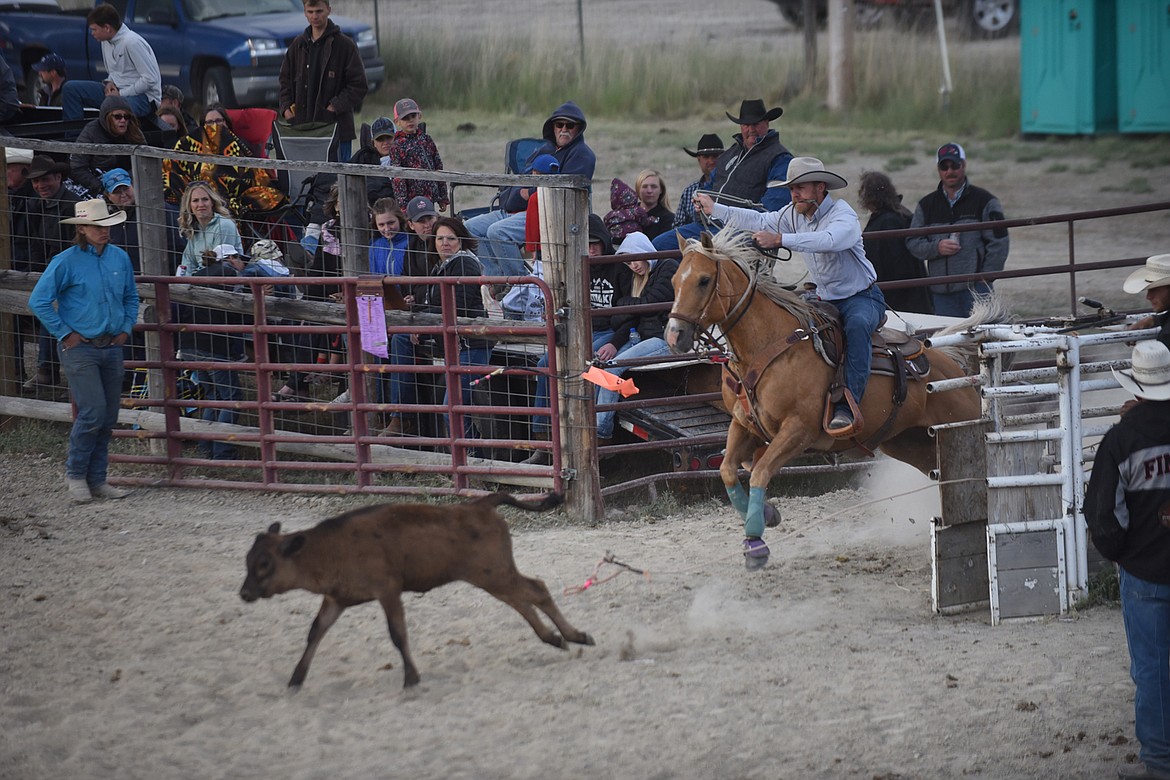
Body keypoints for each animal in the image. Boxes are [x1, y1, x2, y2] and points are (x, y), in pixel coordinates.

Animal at [243, 493, 599, 687]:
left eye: (264, 563)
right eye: (248, 560)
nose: (244, 593)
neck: (329, 547)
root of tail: (480, 505)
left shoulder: (387, 590)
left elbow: (397, 633)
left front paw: (411, 678)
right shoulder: (336, 599)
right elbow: (316, 631)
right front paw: (295, 678)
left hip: (494, 574)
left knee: (534, 591)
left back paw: (575, 636)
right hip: (492, 576)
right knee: (522, 599)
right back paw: (556, 638)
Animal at [669, 230, 996, 568]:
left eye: (704, 280)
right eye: (675, 281)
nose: (674, 335)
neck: (769, 346)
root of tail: (949, 365)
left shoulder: (798, 430)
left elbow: (759, 473)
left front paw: (756, 545)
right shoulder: (743, 424)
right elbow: (729, 470)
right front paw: (767, 516)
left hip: (960, 427)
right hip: (909, 443)